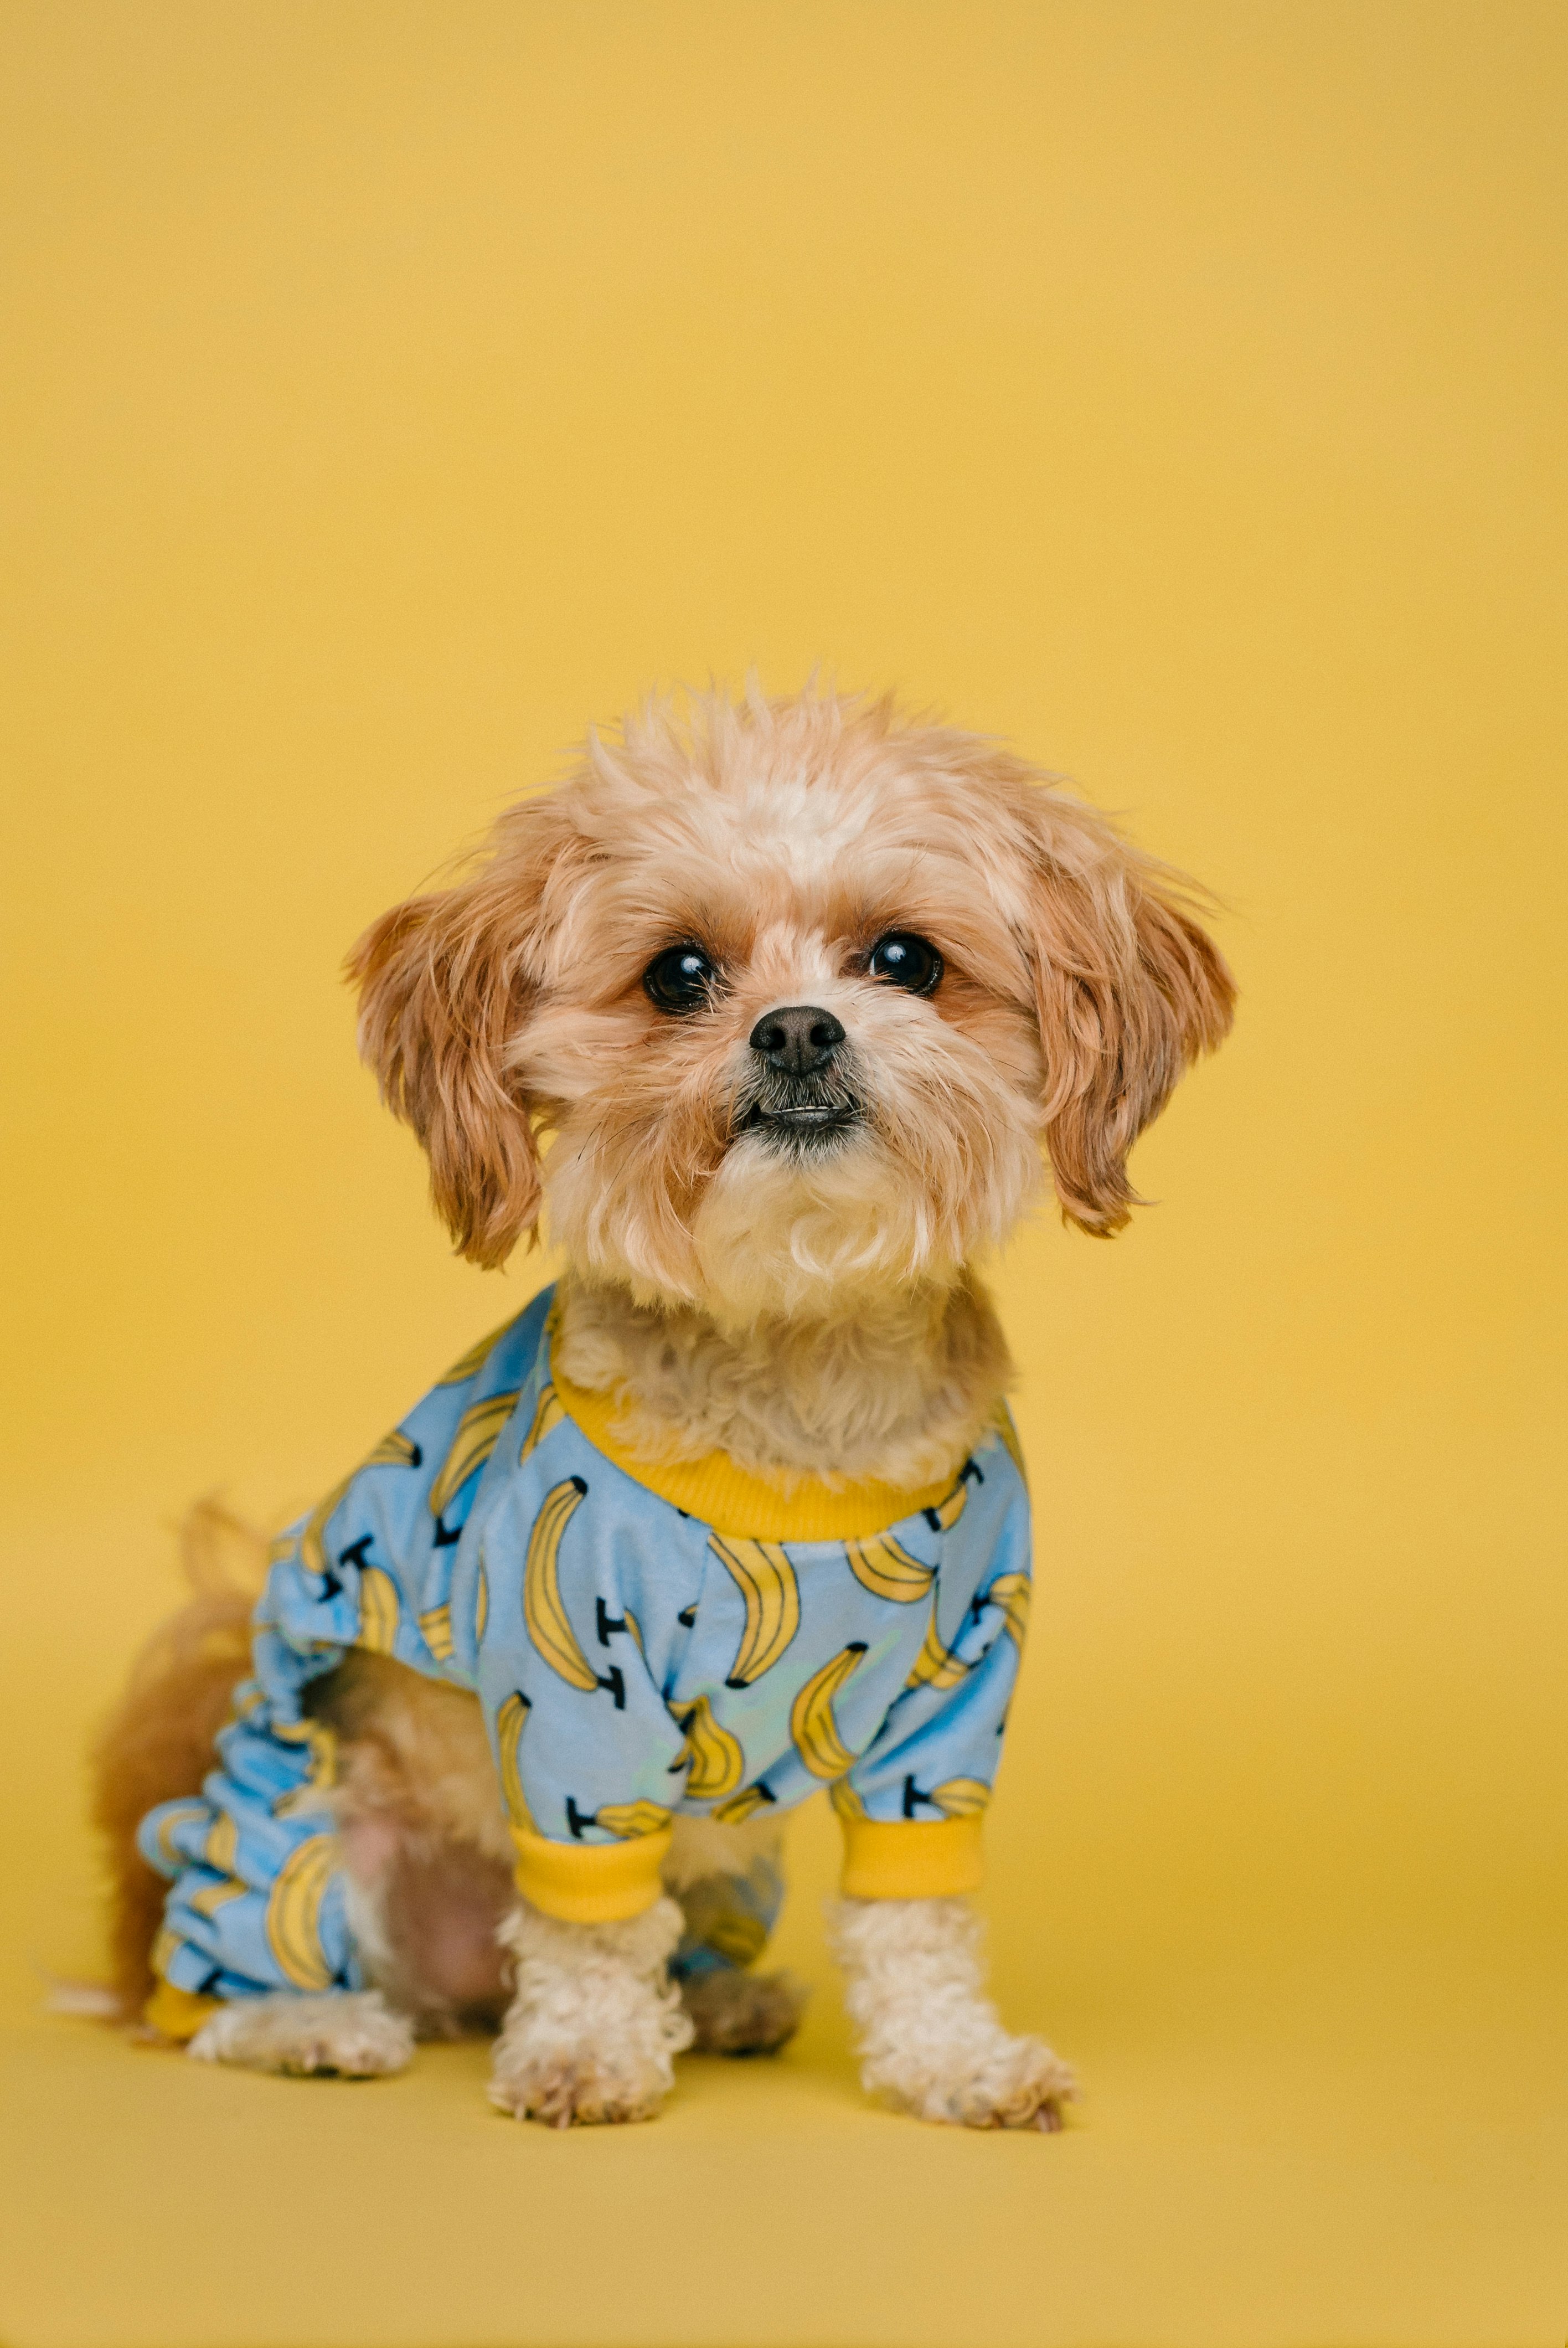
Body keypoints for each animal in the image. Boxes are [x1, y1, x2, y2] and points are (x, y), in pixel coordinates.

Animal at [92, 686, 1230, 2131]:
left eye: (904, 958)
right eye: (679, 974)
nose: (797, 1027)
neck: (800, 1370)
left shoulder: (953, 1704)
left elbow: (914, 1916)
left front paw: (953, 2061)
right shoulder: (578, 1703)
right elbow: (588, 1921)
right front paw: (585, 2055)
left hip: (733, 1858)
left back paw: (727, 2000)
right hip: (300, 1807)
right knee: (225, 1977)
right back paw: (312, 2022)